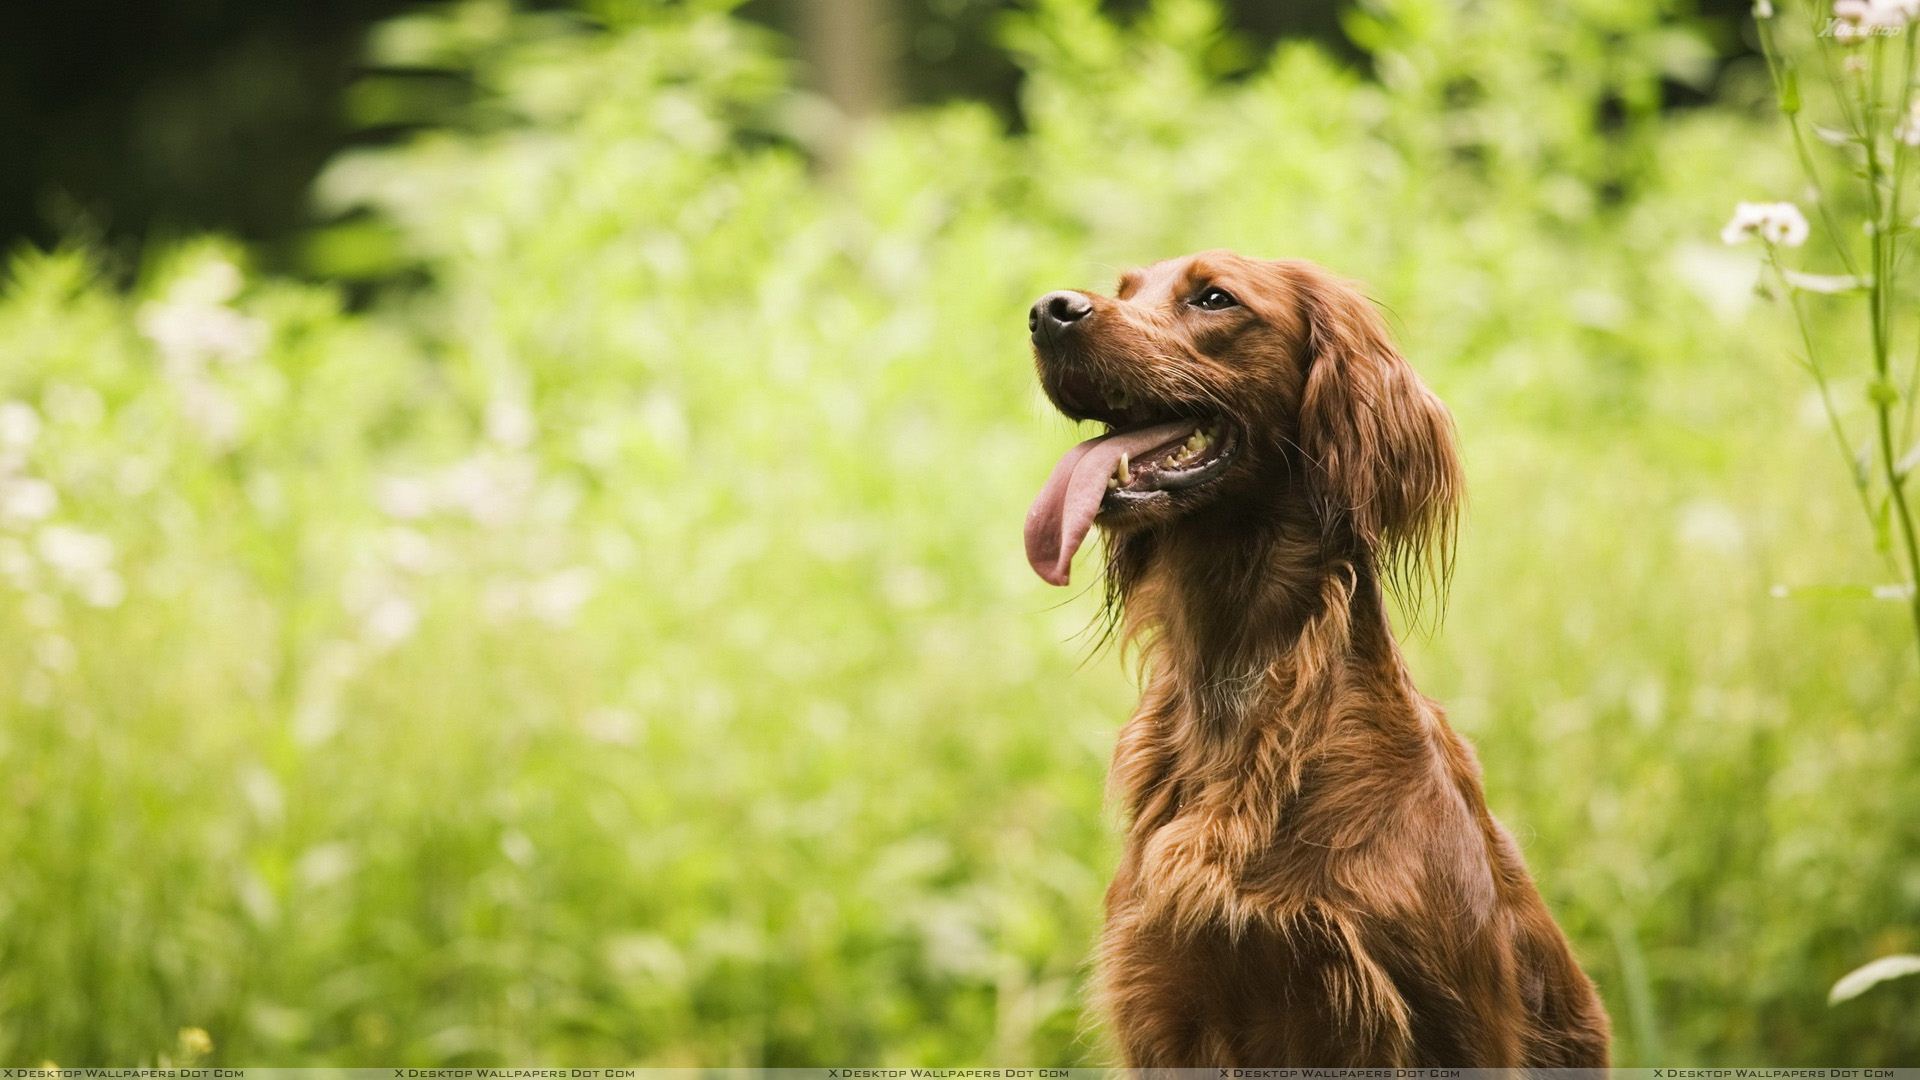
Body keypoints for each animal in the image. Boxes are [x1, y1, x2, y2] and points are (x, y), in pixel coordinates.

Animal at [1021, 249, 1605, 1060]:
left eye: (1214, 298)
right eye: (1126, 290)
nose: (1047, 311)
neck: (1238, 691)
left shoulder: (1443, 1022)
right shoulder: (1167, 1005)